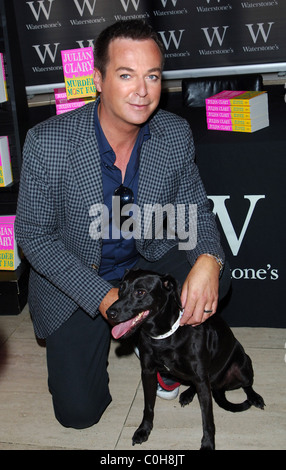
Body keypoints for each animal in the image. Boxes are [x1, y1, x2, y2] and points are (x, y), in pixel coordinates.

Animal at [106, 268, 264, 448]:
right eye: (121, 289)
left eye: (140, 292)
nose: (109, 312)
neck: (163, 337)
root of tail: (218, 386)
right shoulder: (148, 373)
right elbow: (148, 406)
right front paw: (143, 430)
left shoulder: (202, 379)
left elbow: (207, 419)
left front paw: (208, 443)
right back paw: (188, 394)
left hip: (242, 365)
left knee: (247, 385)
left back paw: (255, 397)